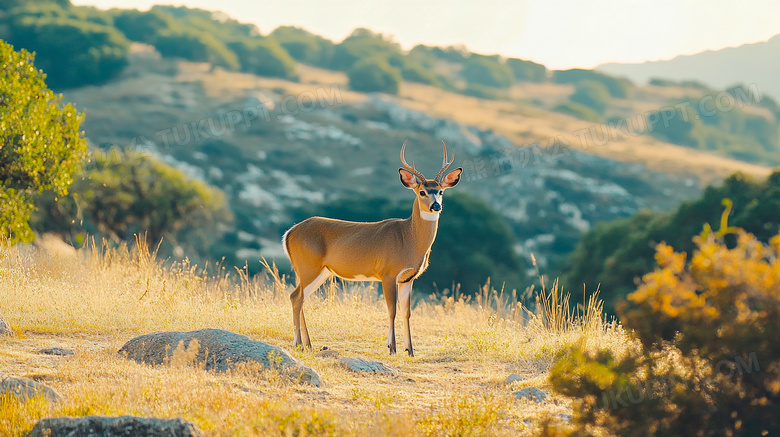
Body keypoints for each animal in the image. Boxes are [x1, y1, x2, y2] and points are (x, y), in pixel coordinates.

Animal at [284, 141, 460, 356]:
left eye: (441, 191)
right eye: (422, 192)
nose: (436, 206)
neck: (409, 239)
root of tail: (289, 232)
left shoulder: (408, 278)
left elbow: (406, 312)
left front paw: (410, 350)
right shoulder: (388, 273)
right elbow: (392, 309)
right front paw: (392, 348)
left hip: (319, 271)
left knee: (300, 297)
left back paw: (308, 344)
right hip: (309, 267)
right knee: (296, 297)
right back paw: (298, 344)